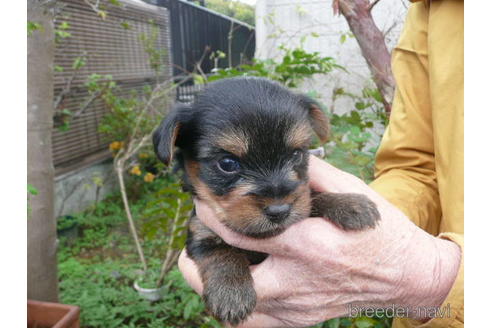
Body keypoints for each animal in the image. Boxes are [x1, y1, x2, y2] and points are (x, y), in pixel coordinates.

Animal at [154, 77, 380, 326]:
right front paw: (231, 293)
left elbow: (310, 198)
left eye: (296, 155)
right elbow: (220, 253)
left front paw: (349, 204)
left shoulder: (302, 197)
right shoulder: (200, 232)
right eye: (227, 163)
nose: (279, 210)